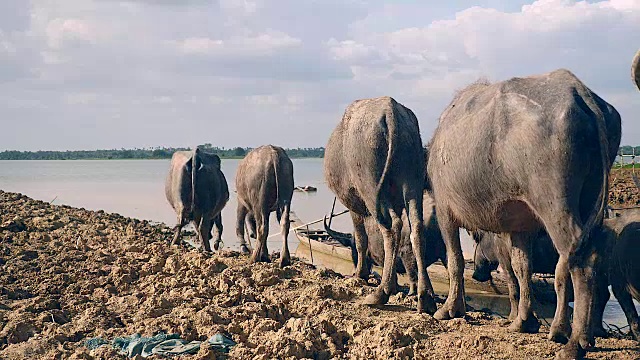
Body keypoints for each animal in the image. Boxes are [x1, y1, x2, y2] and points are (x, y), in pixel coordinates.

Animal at [324, 97, 436, 314]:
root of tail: (391, 111)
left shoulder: (355, 208)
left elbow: (361, 239)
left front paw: (360, 273)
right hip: (412, 183)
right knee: (415, 229)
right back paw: (425, 297)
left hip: (370, 187)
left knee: (390, 229)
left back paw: (380, 293)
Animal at [428, 69, 624, 358]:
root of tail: (579, 91)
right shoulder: (520, 225)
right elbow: (522, 269)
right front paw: (524, 321)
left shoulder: (444, 210)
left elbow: (455, 260)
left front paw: (451, 309)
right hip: (589, 200)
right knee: (575, 260)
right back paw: (570, 332)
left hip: (554, 203)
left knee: (580, 259)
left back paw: (575, 341)